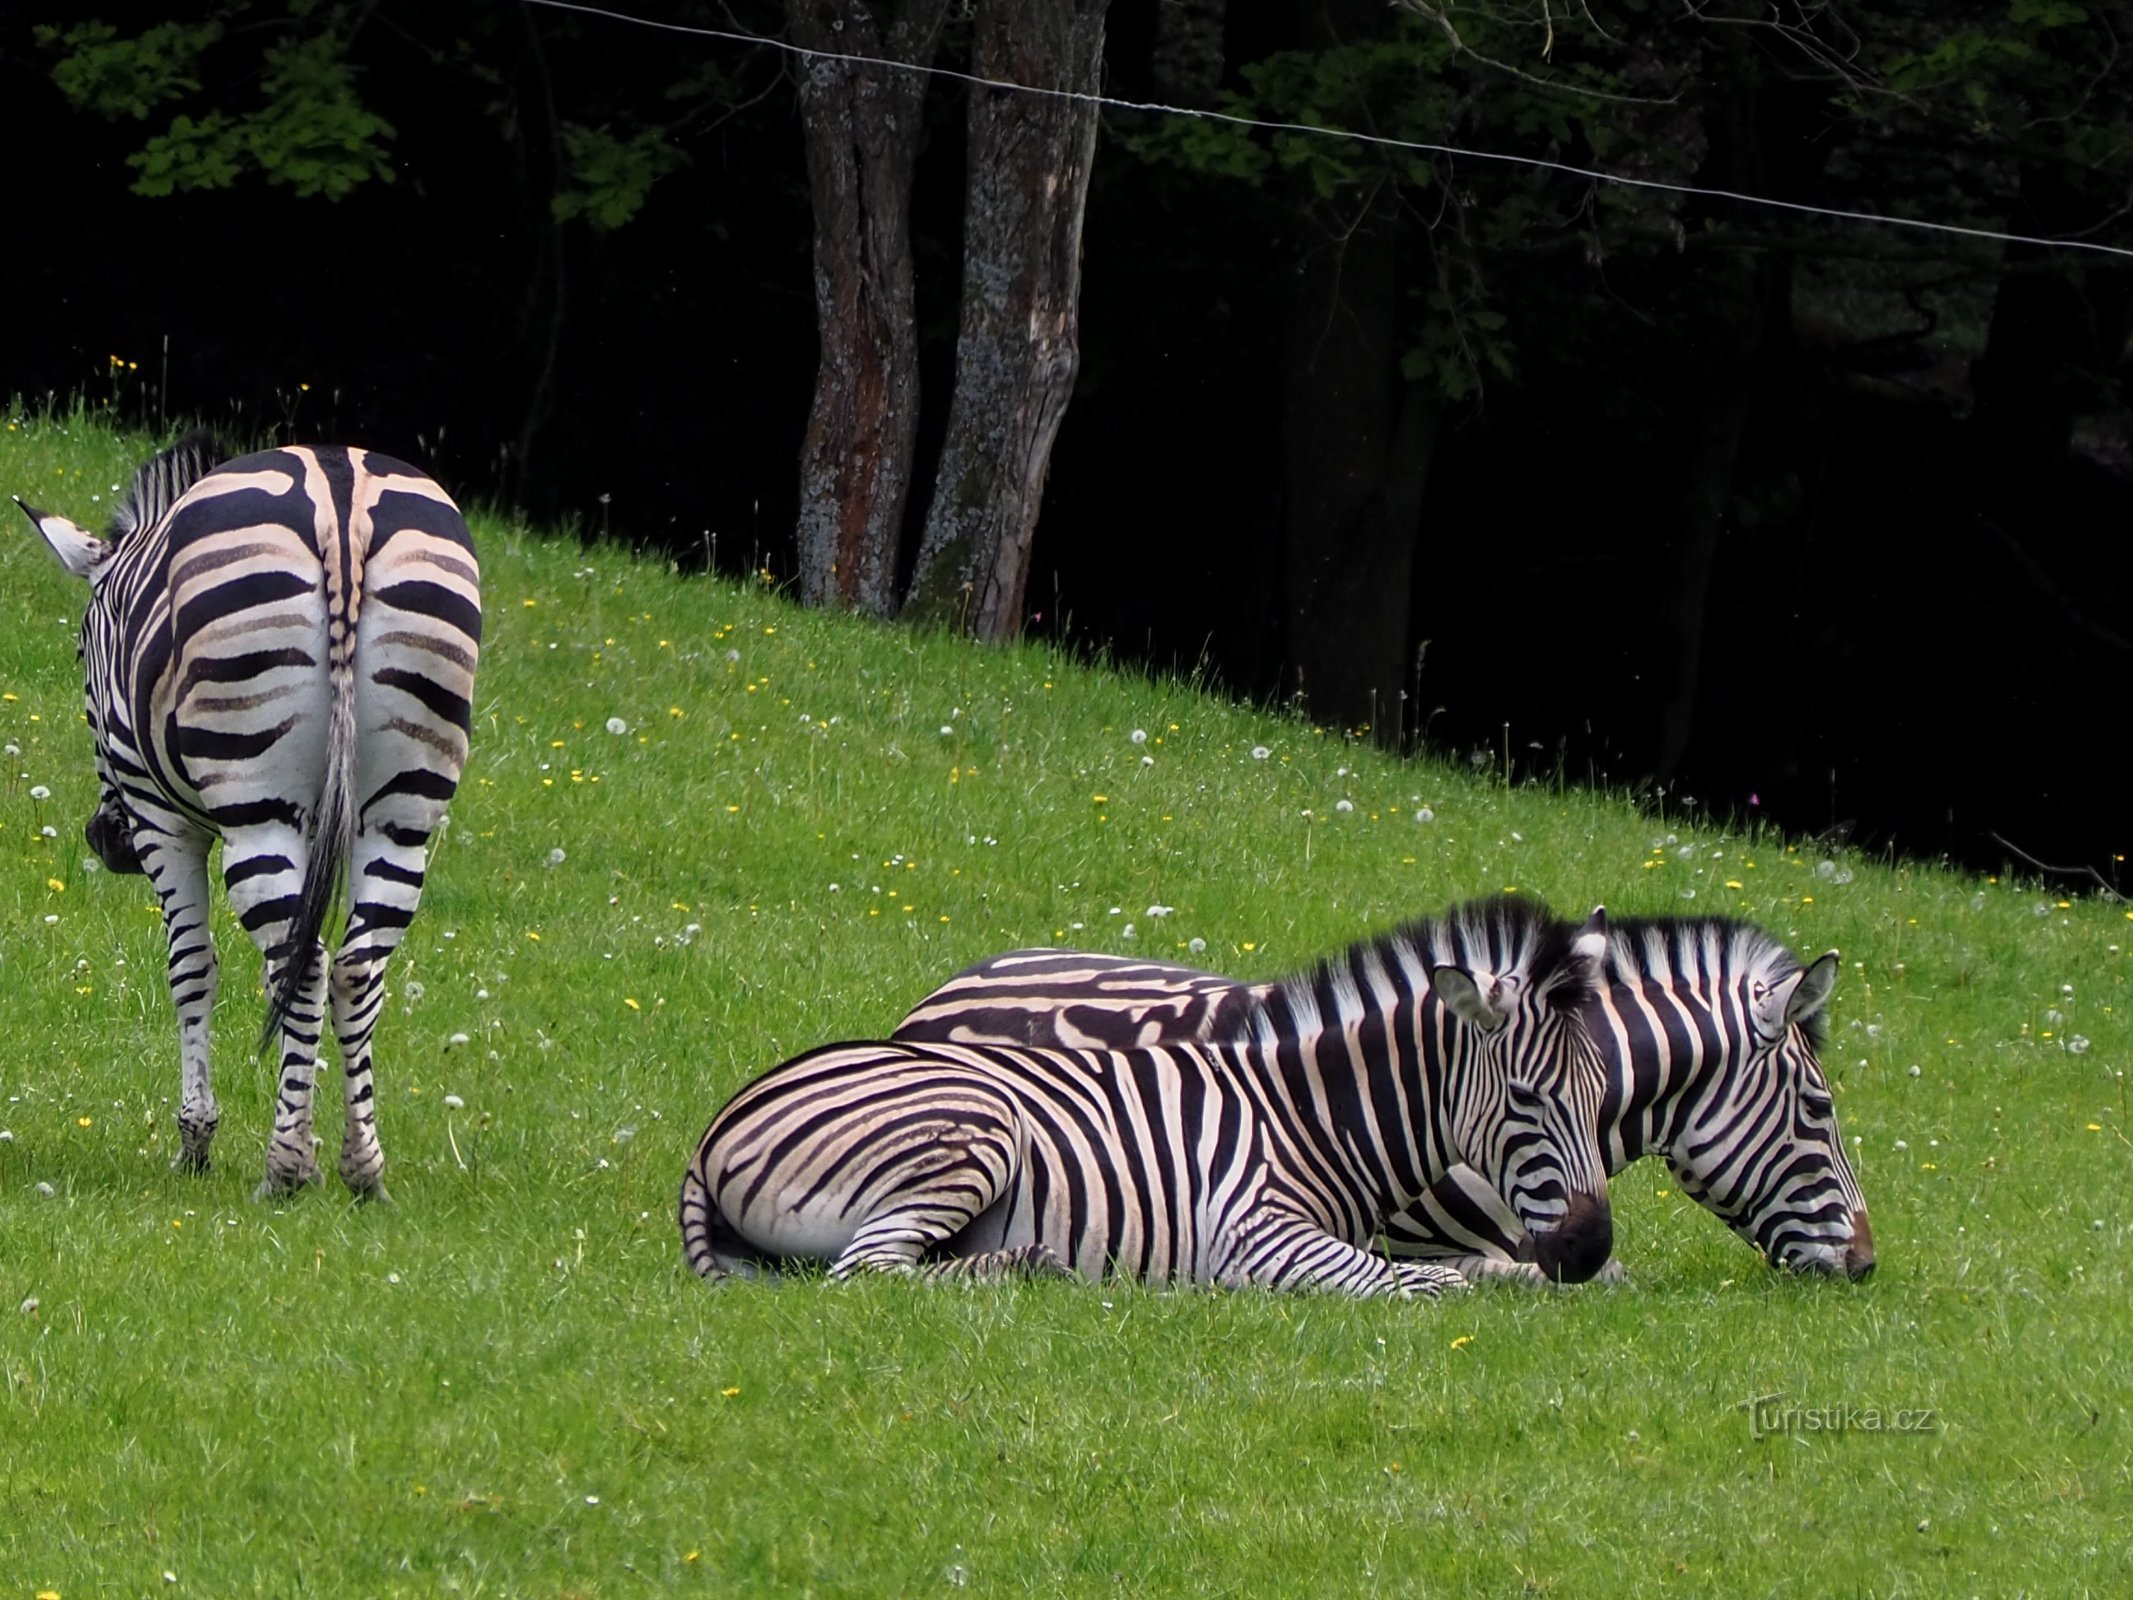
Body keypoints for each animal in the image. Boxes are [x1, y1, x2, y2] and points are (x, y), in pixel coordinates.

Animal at [17, 435, 484, 1203]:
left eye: (81, 656)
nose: (104, 842)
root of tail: (339, 495)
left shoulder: (160, 822)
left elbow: (192, 968)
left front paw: (197, 1141)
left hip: (252, 806)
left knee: (309, 963)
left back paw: (284, 1170)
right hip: (403, 810)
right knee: (353, 967)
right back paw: (361, 1171)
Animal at [682, 896, 1612, 1297]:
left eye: (1604, 1095)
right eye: (1527, 1099)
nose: (1591, 1252)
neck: (1313, 1118)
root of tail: (712, 1130)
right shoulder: (1252, 1231)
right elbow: (1423, 1286)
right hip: (977, 1125)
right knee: (867, 1271)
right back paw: (1036, 1267)